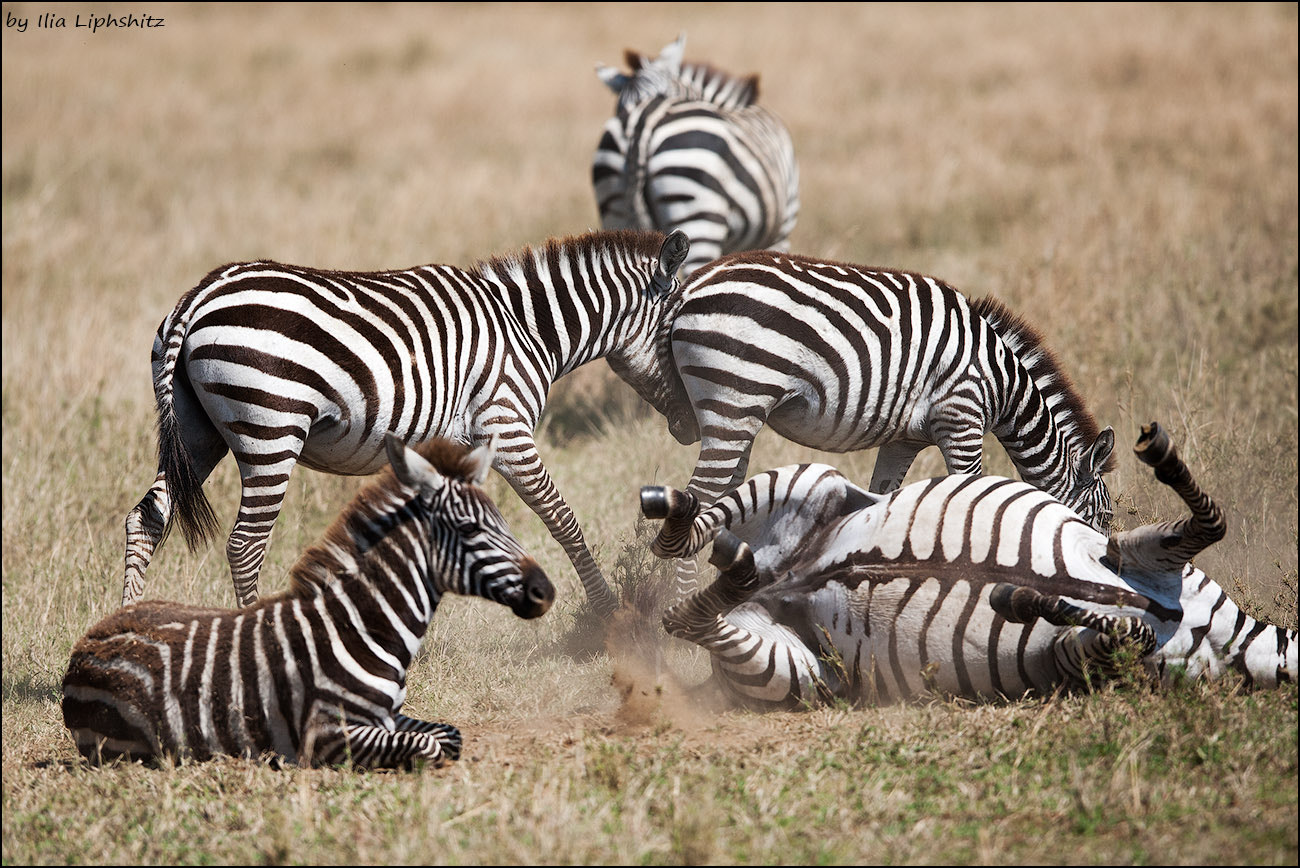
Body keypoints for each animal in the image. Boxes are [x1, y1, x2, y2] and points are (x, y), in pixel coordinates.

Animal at [65, 434, 553, 764]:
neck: (363, 626)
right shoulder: (329, 733)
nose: (545, 591)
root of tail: (87, 642)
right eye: (470, 529)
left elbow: (449, 734)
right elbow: (429, 746)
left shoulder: (390, 715)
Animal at [122, 227, 696, 613]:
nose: (690, 427)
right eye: (681, 334)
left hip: (196, 433)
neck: (526, 328)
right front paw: (606, 614)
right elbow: (563, 520)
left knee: (147, 518)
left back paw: (123, 624)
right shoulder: (505, 427)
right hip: (271, 431)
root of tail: (198, 297)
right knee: (244, 544)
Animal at [642, 421, 1300, 712]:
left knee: (688, 615)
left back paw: (732, 567)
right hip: (814, 480)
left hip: (800, 669)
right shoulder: (1134, 554)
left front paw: (1023, 598)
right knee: (682, 550)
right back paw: (672, 510)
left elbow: (1126, 626)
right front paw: (1159, 453)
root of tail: (776, 584)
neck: (1222, 642)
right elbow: (1213, 520)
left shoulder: (1093, 656)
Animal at [660, 244, 1118, 597]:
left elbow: (884, 498)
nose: (1109, 574)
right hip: (736, 398)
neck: (1002, 382)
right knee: (697, 500)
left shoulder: (904, 441)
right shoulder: (961, 417)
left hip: (739, 414)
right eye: (1106, 516)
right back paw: (676, 605)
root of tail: (693, 283)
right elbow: (969, 492)